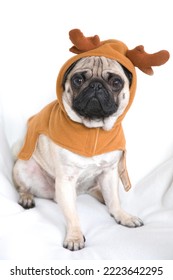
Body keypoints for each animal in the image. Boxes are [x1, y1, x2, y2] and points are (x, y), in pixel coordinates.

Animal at [12, 57, 143, 252]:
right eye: (78, 80)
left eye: (116, 82)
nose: (96, 85)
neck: (93, 129)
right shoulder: (66, 181)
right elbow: (72, 215)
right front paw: (74, 237)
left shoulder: (109, 172)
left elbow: (114, 200)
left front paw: (122, 216)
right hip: (24, 167)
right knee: (23, 187)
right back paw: (26, 198)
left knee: (99, 192)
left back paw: (102, 197)